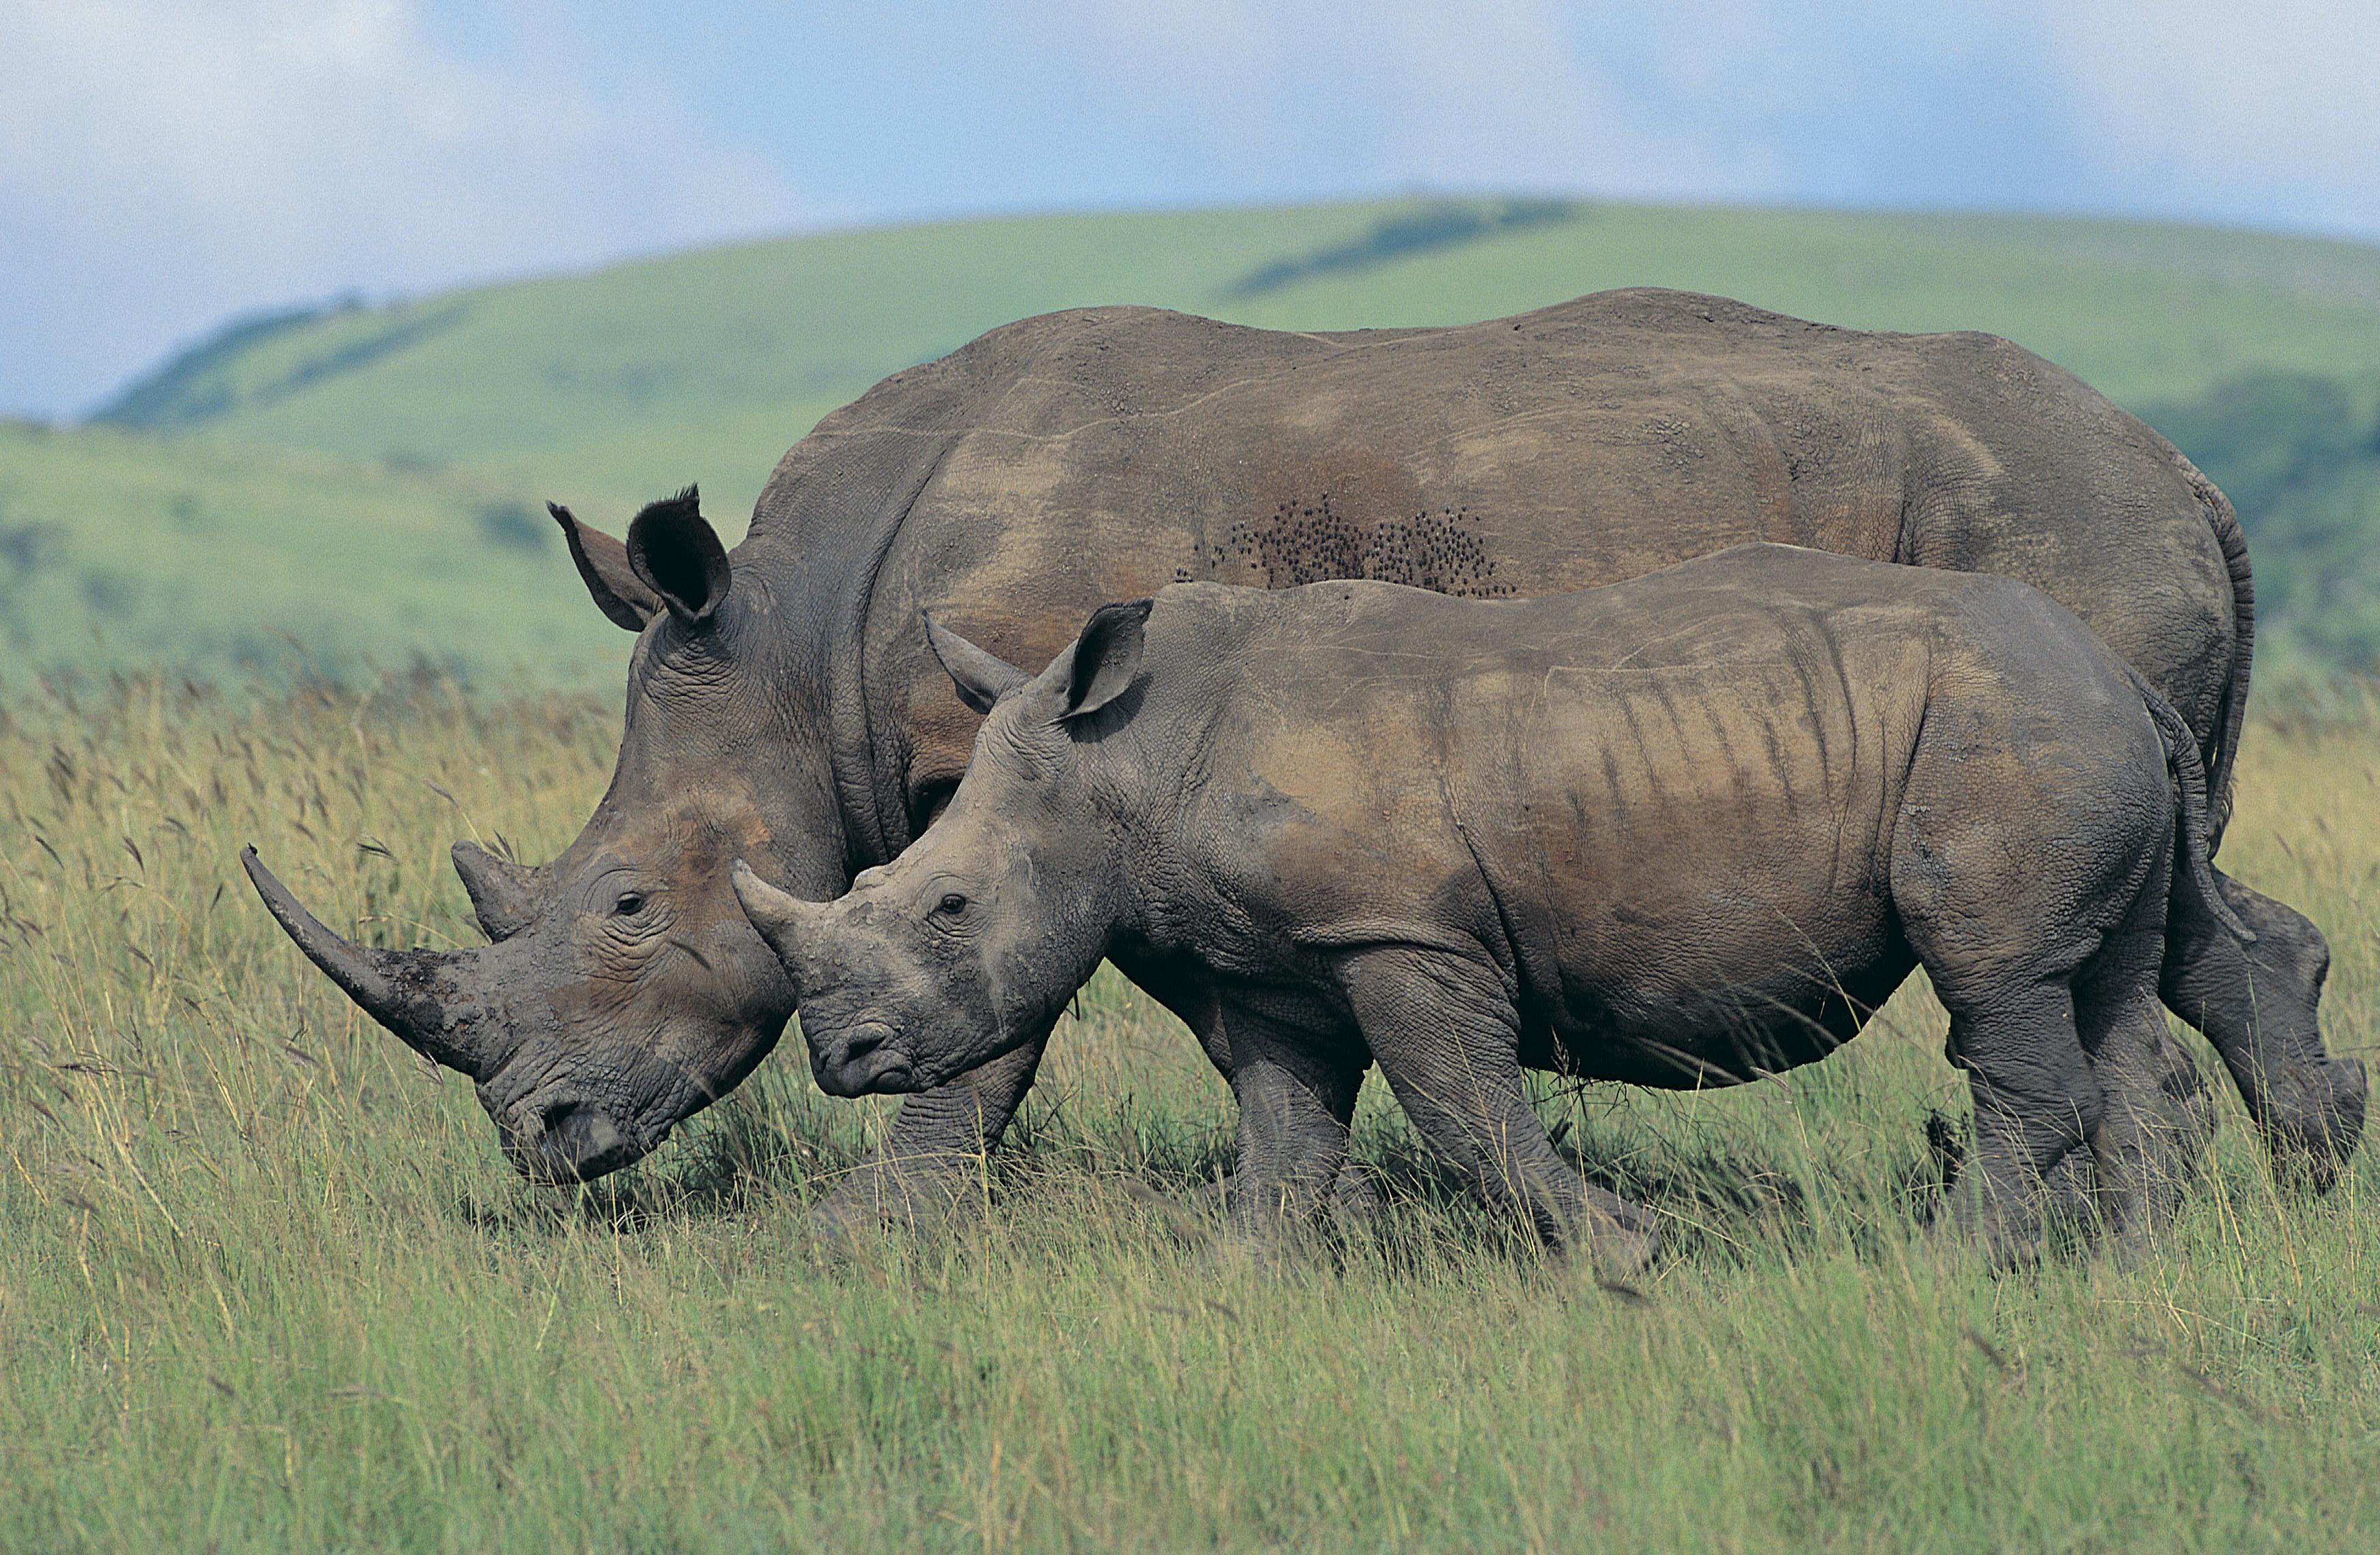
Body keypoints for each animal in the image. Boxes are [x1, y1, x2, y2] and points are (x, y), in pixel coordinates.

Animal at [730, 547, 2253, 1263]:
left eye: (948, 906)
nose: (843, 1060)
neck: (1129, 759)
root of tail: (2123, 677)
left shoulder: (1402, 930)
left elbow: (1459, 1108)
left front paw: (1628, 1255)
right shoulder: (1276, 959)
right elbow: (1282, 1133)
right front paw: (1240, 1282)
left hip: (2009, 731)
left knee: (1995, 981)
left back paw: (1939, 1269)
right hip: (2058, 730)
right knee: (2102, 991)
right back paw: (2125, 1270)